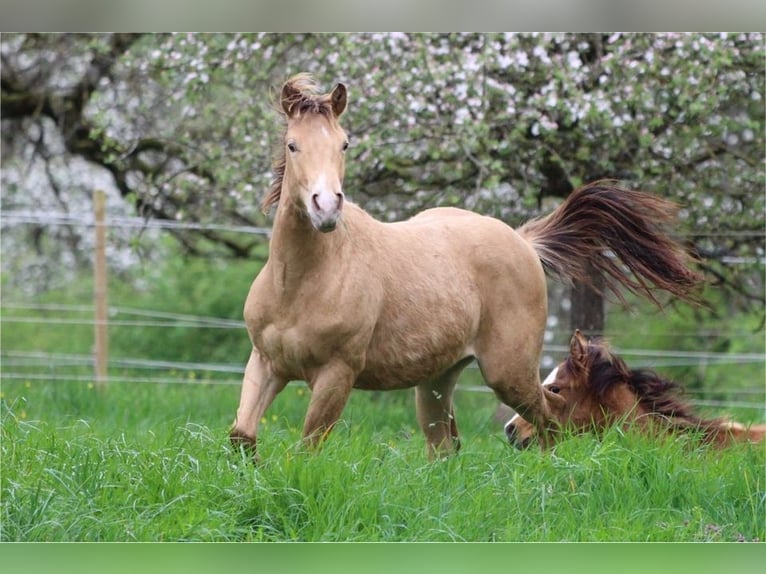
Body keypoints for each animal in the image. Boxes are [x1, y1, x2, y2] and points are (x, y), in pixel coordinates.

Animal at [231, 74, 704, 462]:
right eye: (293, 145)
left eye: (344, 144)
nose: (327, 207)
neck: (301, 284)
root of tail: (524, 241)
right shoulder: (266, 362)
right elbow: (242, 437)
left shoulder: (335, 375)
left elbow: (306, 449)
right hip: (436, 380)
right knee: (446, 447)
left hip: (508, 373)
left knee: (549, 423)